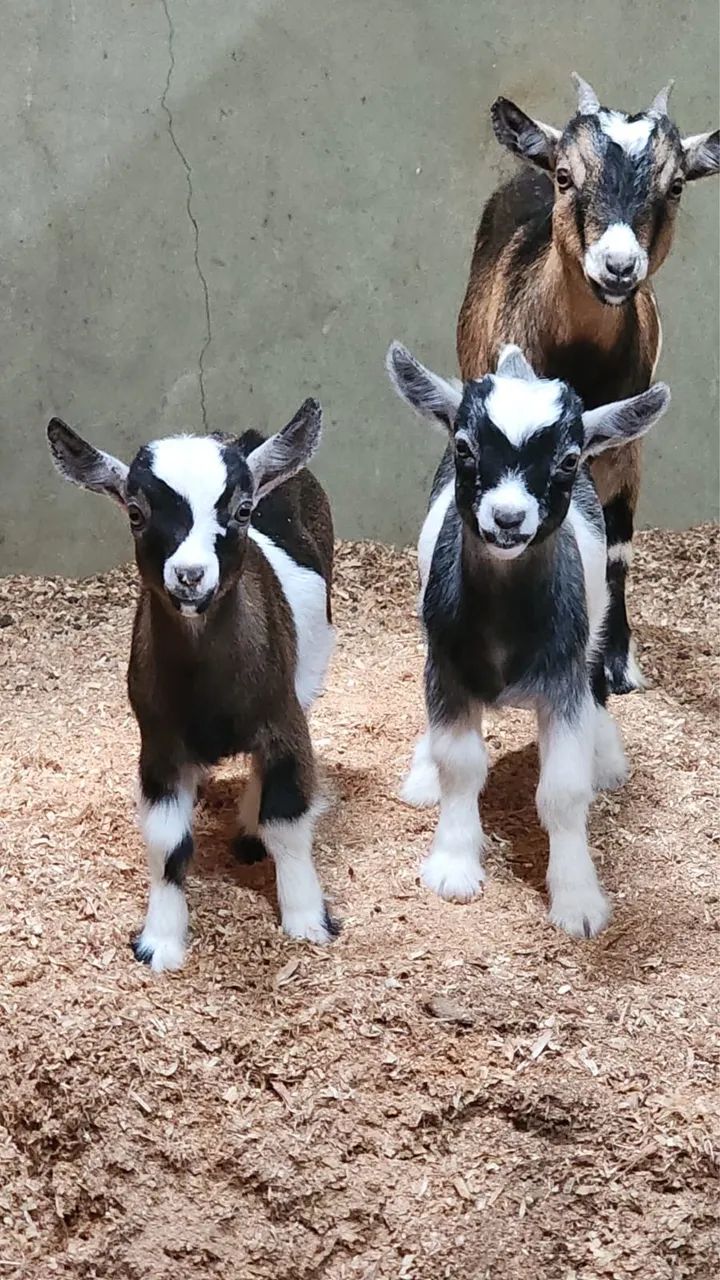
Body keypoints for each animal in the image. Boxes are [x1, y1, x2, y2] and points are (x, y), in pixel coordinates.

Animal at [47, 402, 338, 971]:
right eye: (135, 512)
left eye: (243, 510)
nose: (189, 575)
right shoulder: (158, 745)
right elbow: (166, 842)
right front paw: (159, 942)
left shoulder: (283, 722)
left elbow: (287, 819)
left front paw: (307, 921)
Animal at [386, 340, 670, 938]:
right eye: (465, 447)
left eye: (568, 459)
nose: (508, 518)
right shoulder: (446, 670)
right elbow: (459, 765)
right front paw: (453, 865)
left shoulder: (562, 679)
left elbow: (563, 791)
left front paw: (577, 900)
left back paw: (605, 757)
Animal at [457, 74, 718, 694]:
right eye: (565, 175)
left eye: (676, 185)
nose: (618, 267)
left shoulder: (626, 447)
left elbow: (616, 547)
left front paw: (617, 661)